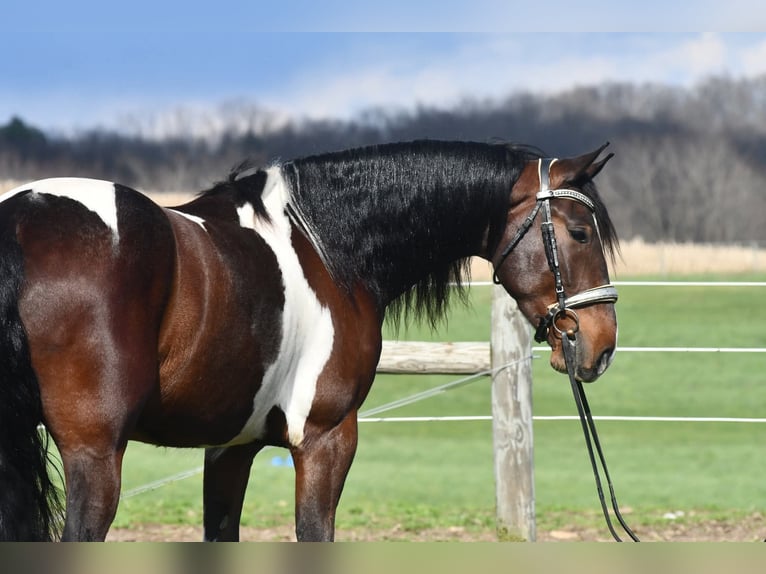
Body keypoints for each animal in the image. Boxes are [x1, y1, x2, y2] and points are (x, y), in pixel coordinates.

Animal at [0, 139, 619, 541]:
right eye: (579, 233)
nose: (601, 344)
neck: (328, 248)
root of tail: (19, 225)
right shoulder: (326, 439)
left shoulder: (231, 447)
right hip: (96, 455)